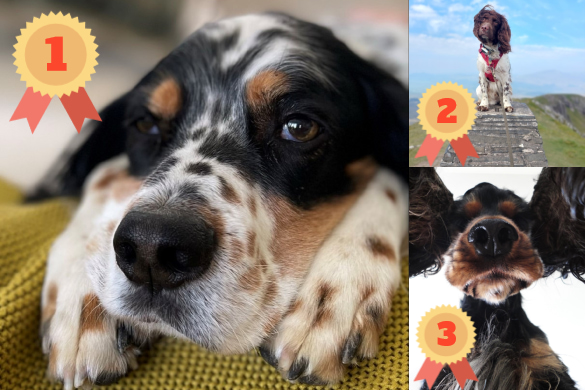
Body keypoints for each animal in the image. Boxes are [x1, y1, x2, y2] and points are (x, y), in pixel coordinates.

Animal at [34, 12, 406, 390]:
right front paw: (80, 295)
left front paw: (340, 281)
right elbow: (102, 175)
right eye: (145, 123)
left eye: (300, 127)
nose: (150, 250)